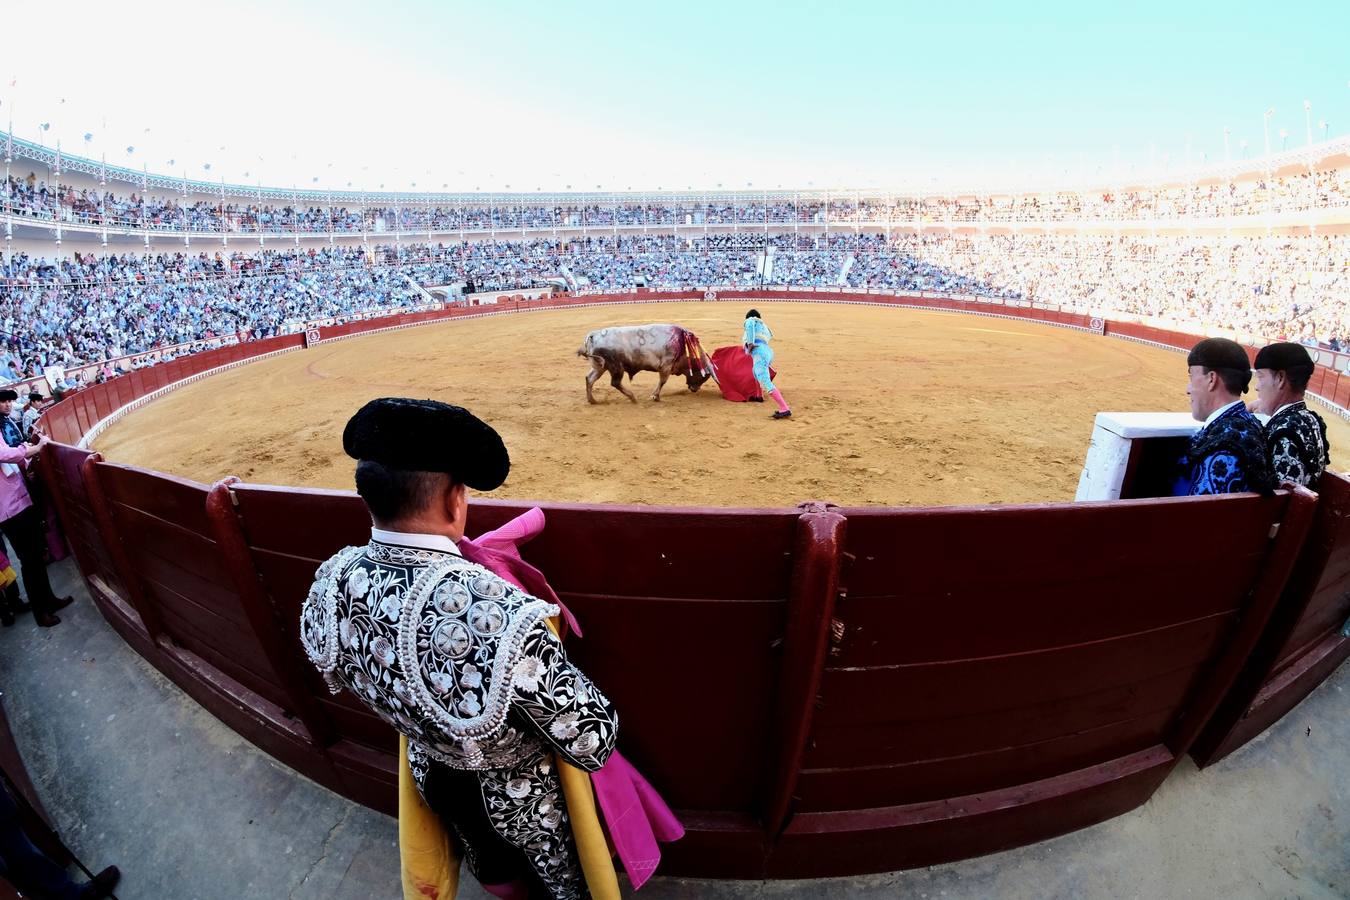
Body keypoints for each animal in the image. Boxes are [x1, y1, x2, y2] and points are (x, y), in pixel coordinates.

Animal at [575, 322, 712, 402]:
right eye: (704, 376)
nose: (695, 389)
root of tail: (593, 335)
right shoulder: (666, 366)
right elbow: (662, 381)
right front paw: (655, 396)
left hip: (600, 366)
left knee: (589, 379)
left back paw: (592, 400)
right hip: (616, 367)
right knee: (615, 382)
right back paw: (632, 397)